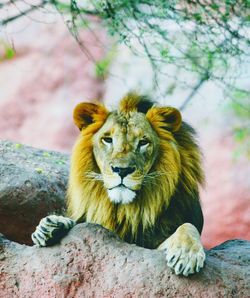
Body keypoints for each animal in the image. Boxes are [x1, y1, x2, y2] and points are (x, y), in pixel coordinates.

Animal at [31, 93, 205, 278]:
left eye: (143, 142)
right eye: (107, 140)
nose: (122, 170)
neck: (126, 211)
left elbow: (187, 226)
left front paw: (186, 255)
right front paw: (49, 225)